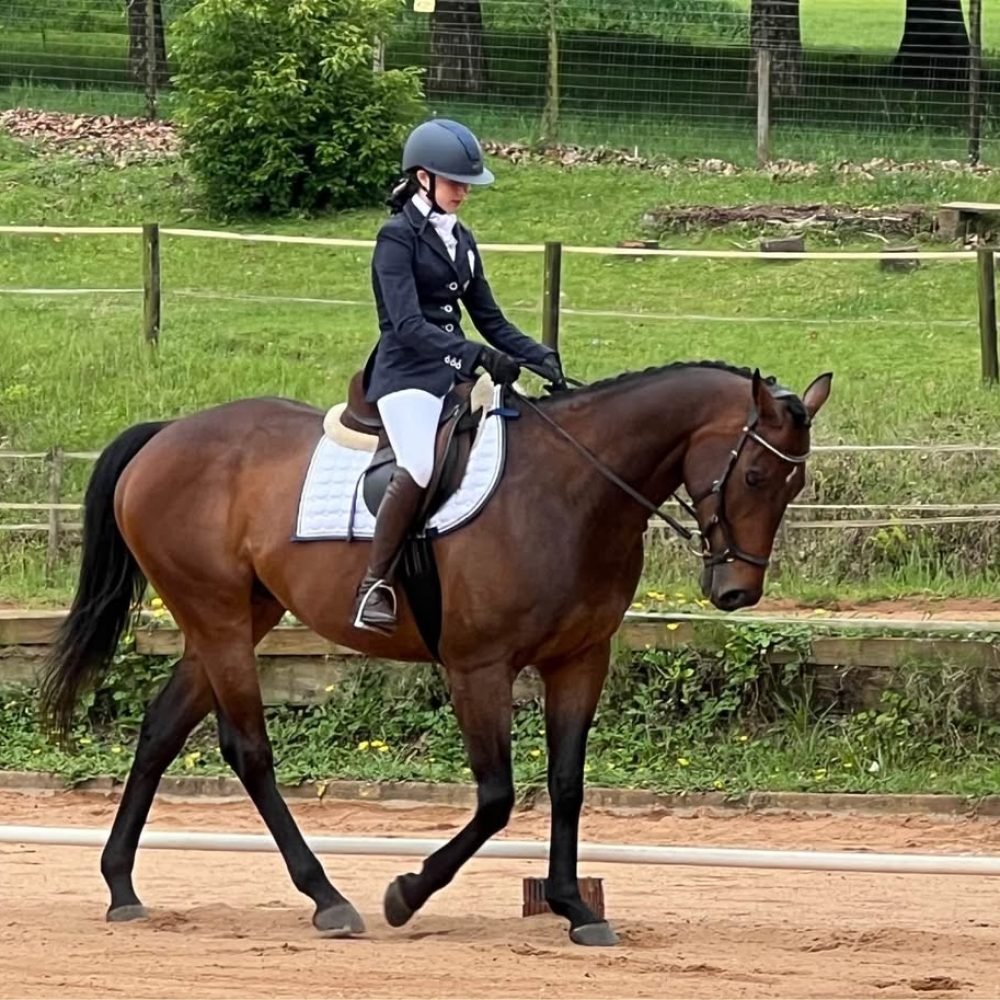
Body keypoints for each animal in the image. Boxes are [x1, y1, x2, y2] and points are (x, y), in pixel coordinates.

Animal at [39, 359, 832, 947]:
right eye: (755, 476)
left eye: (794, 483)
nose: (736, 591)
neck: (572, 491)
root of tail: (166, 435)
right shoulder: (477, 668)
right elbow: (497, 797)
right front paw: (406, 893)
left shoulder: (581, 660)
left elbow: (567, 786)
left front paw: (575, 908)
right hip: (219, 618)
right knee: (248, 750)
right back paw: (328, 899)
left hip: (236, 617)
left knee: (160, 731)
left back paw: (121, 887)